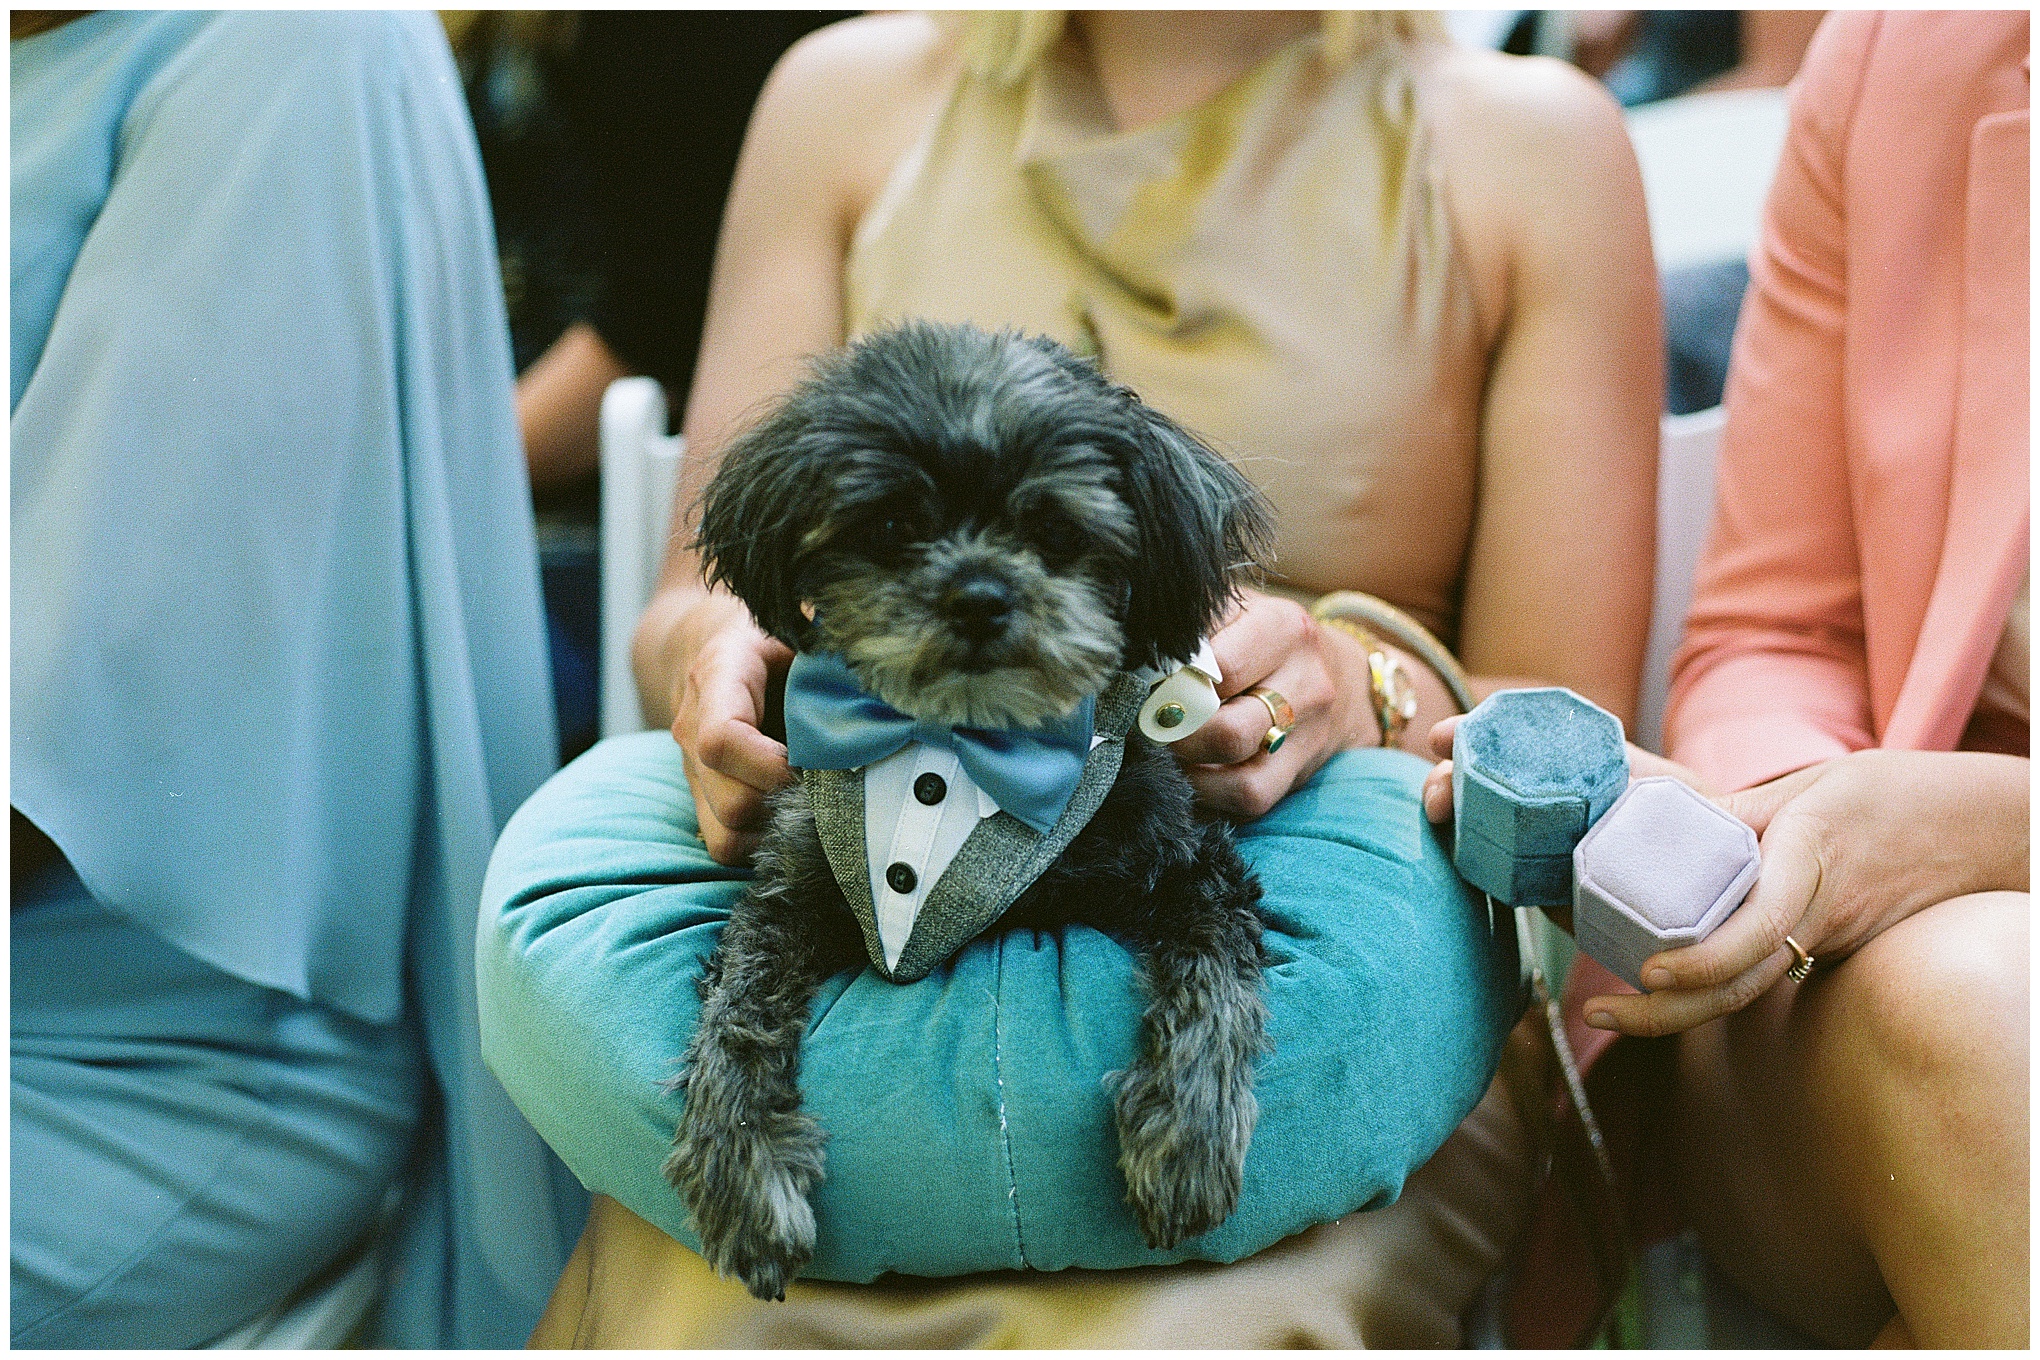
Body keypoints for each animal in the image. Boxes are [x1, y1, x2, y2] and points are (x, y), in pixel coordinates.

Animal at [669, 320, 1272, 1296]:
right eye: (892, 525)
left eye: (1056, 530)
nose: (980, 595)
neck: (959, 741)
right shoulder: (791, 888)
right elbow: (737, 1014)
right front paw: (744, 1177)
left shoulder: (1188, 863)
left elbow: (1214, 985)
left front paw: (1187, 1140)